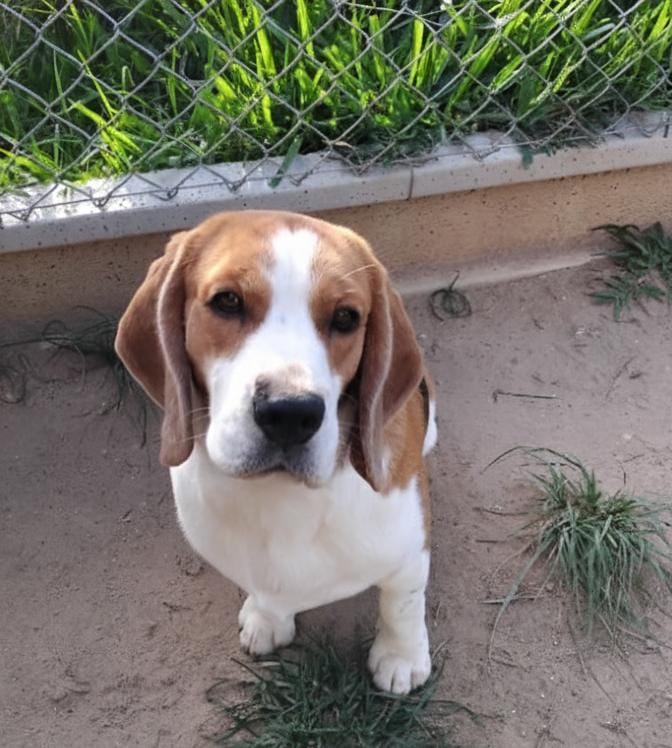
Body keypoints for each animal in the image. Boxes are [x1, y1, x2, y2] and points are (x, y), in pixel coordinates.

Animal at [115, 210, 437, 694]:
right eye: (228, 301)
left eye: (346, 317)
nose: (290, 412)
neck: (281, 497)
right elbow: (268, 592)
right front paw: (267, 618)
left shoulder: (410, 551)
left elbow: (402, 604)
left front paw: (401, 657)